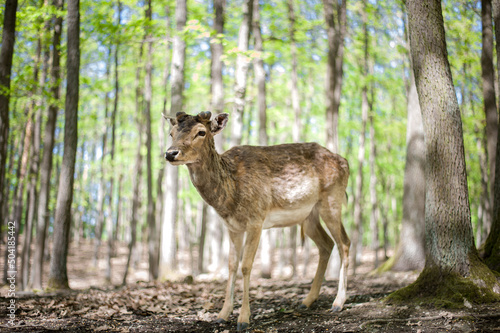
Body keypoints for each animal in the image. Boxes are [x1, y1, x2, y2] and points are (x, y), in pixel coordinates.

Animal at [165, 111, 352, 330]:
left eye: (201, 132)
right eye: (171, 133)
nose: (170, 153)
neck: (229, 197)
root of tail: (345, 162)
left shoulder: (256, 218)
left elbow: (246, 266)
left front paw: (243, 319)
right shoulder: (232, 227)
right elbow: (231, 266)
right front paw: (222, 315)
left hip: (332, 198)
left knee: (344, 243)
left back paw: (338, 302)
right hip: (308, 216)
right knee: (326, 244)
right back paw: (307, 301)